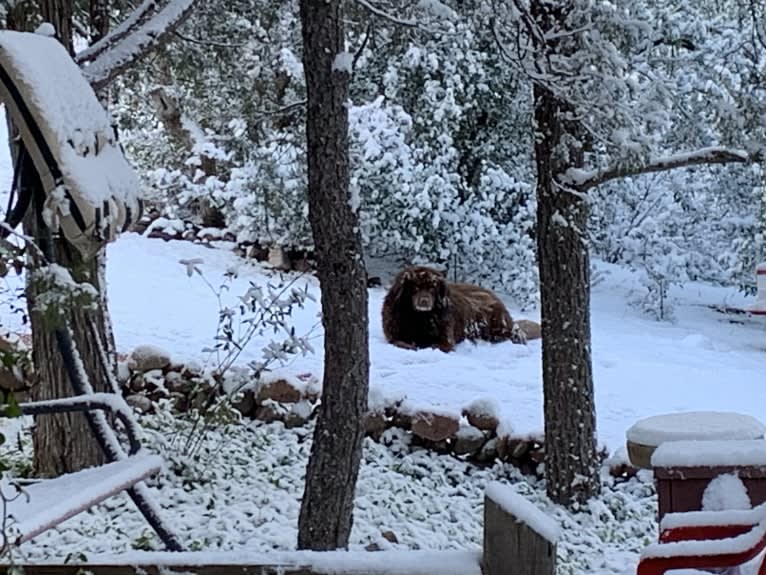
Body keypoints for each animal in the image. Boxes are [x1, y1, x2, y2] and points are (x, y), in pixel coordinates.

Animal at [384, 268, 528, 354]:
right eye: (415, 287)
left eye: (432, 288)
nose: (424, 301)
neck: (419, 317)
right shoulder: (394, 332)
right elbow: (398, 342)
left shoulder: (446, 339)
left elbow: (434, 345)